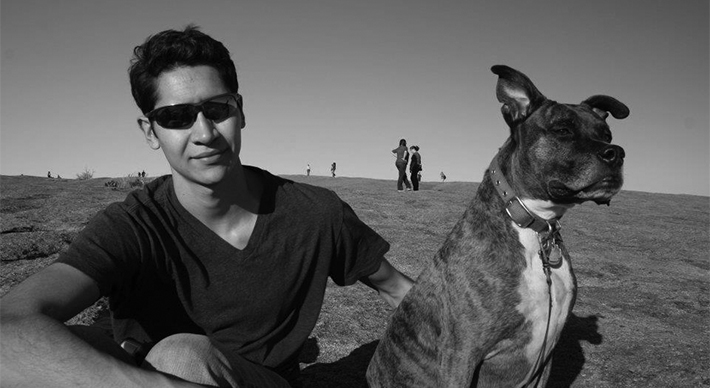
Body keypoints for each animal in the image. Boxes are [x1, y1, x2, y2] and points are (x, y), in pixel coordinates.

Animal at [368, 65, 628, 386]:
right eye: (563, 130)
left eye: (607, 134)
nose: (616, 152)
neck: (535, 228)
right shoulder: (461, 355)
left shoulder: (546, 357)